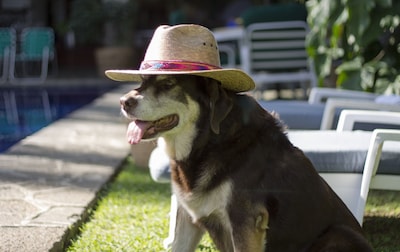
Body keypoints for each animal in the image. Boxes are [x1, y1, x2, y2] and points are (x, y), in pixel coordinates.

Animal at [119, 74, 372, 251]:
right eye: (142, 82)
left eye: (169, 83)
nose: (123, 101)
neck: (209, 142)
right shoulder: (187, 217)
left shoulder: (245, 222)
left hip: (338, 235)